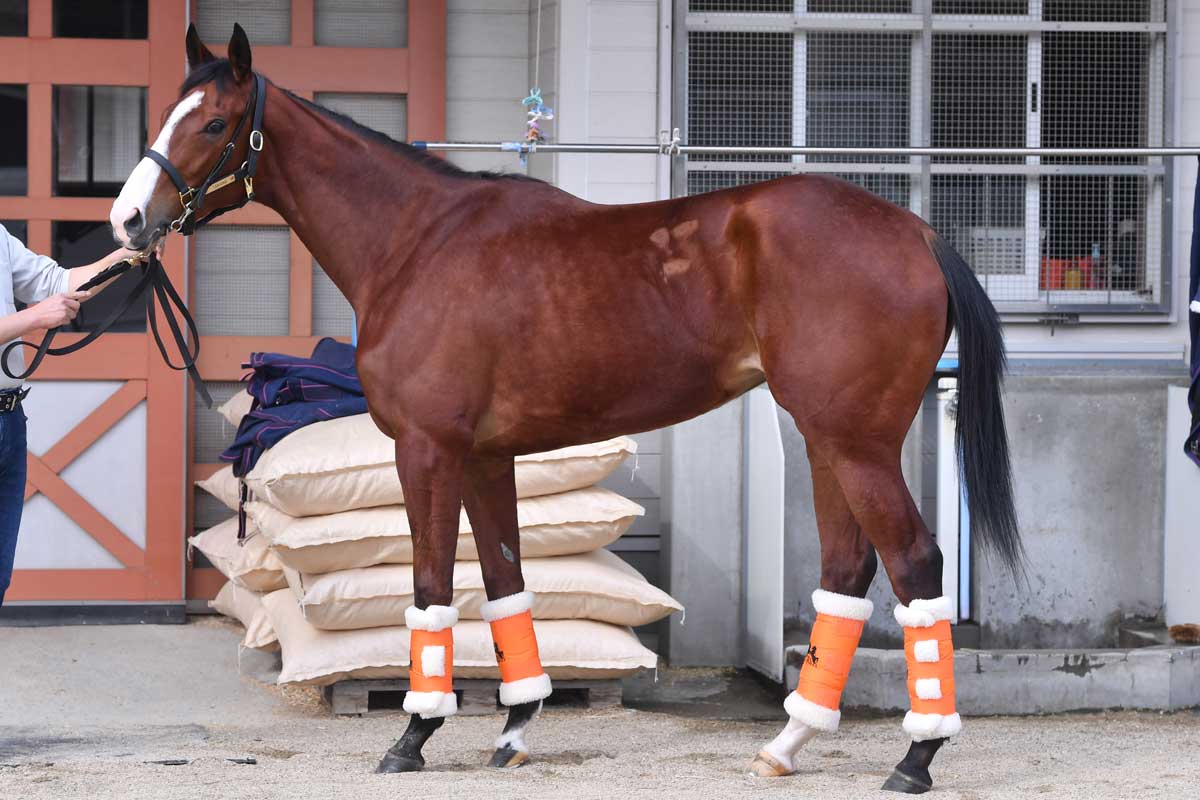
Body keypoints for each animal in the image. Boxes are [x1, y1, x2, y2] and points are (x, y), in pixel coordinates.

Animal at [109, 24, 1020, 794]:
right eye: (168, 113)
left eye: (215, 121)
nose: (127, 219)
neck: (418, 241)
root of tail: (916, 233)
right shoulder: (485, 455)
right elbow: (506, 579)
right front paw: (514, 727)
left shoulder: (428, 449)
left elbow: (432, 584)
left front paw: (413, 736)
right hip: (827, 437)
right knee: (846, 570)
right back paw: (788, 744)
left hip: (855, 441)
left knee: (915, 565)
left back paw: (917, 756)